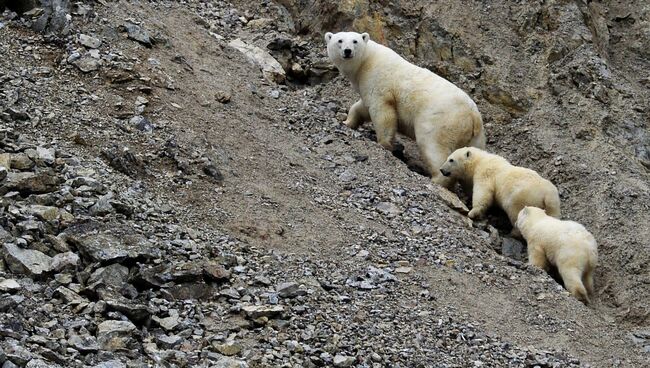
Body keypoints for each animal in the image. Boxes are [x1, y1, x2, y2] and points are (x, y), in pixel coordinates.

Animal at [322, 30, 484, 187]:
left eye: (355, 41)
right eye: (340, 40)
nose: (347, 51)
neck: (366, 61)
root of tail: (473, 115)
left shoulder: (379, 80)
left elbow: (382, 111)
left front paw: (384, 143)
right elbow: (362, 107)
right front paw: (347, 122)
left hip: (441, 120)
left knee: (433, 146)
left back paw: (436, 179)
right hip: (475, 137)